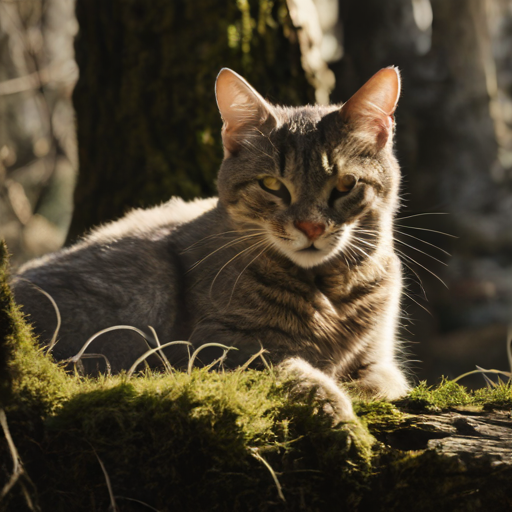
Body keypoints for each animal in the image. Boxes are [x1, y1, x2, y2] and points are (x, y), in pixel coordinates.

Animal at [12, 67, 410, 420]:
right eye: (271, 185)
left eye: (345, 184)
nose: (310, 227)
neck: (326, 293)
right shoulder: (216, 345)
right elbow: (286, 364)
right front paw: (334, 407)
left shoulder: (378, 356)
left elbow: (386, 378)